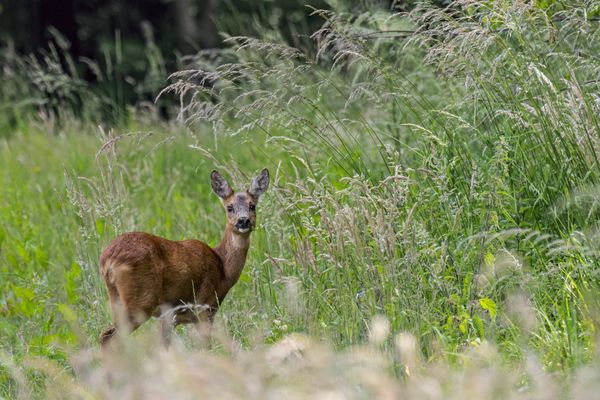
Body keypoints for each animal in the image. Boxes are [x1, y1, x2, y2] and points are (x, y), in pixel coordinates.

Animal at [98, 167, 270, 348]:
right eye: (230, 207)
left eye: (252, 206)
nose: (243, 221)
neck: (223, 269)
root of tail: (106, 260)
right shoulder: (204, 307)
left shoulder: (171, 316)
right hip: (141, 301)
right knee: (108, 336)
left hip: (117, 299)